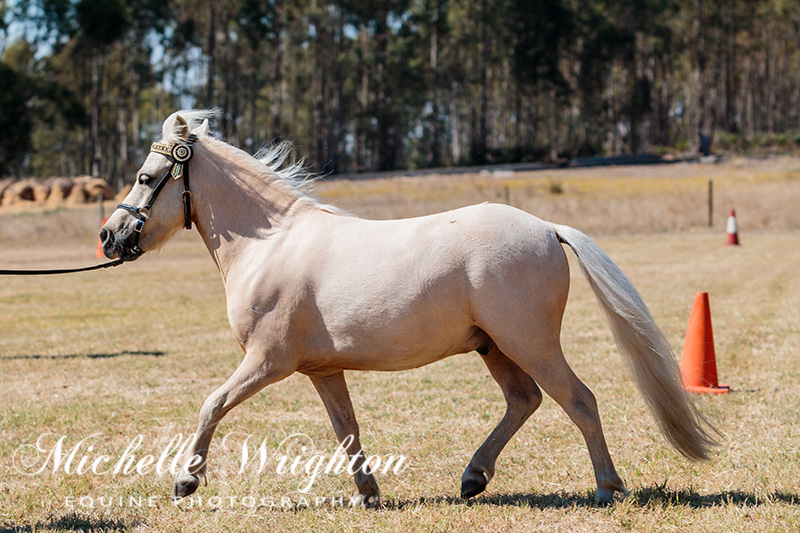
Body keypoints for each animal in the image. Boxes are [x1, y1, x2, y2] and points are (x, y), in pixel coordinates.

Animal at [97, 111, 716, 502]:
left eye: (146, 177)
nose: (109, 237)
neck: (269, 243)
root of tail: (546, 227)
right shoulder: (322, 370)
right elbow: (346, 429)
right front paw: (368, 493)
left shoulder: (267, 361)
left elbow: (212, 405)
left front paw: (185, 482)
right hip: (494, 347)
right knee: (525, 400)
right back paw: (473, 478)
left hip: (530, 342)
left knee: (579, 400)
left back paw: (607, 487)